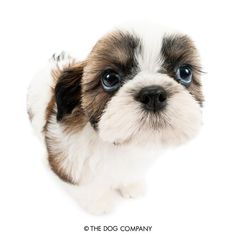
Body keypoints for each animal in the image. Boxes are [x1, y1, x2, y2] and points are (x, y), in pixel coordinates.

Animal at [27, 24, 204, 216]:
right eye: (110, 78)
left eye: (185, 73)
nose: (153, 95)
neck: (115, 144)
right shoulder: (65, 157)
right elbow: (82, 182)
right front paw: (98, 202)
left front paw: (131, 185)